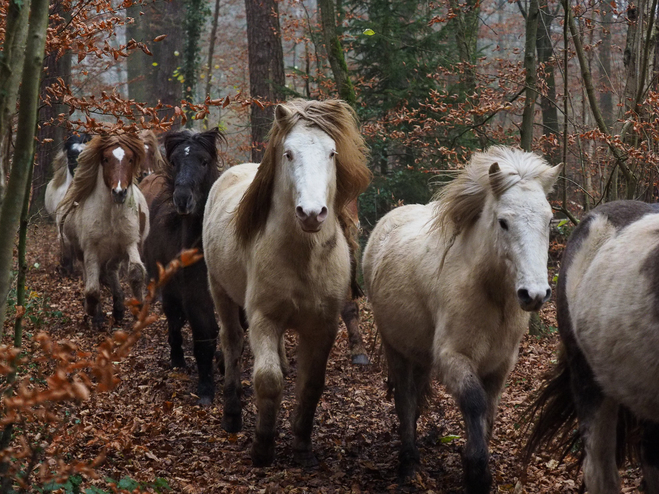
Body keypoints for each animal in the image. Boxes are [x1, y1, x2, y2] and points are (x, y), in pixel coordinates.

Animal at [58, 133, 149, 330]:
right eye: (106, 159)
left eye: (130, 159)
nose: (119, 192)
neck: (111, 213)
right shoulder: (91, 249)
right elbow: (92, 289)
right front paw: (94, 313)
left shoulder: (129, 243)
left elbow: (136, 273)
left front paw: (138, 311)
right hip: (82, 250)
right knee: (91, 275)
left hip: (117, 251)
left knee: (110, 269)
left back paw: (119, 309)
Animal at [143, 127, 226, 406]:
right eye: (175, 161)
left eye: (204, 161)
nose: (182, 199)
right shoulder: (195, 298)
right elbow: (204, 339)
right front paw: (206, 389)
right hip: (168, 290)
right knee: (174, 320)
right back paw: (177, 358)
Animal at [202, 97, 372, 466]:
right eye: (288, 153)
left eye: (332, 153)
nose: (311, 213)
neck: (303, 257)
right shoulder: (263, 319)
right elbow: (268, 380)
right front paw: (263, 446)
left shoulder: (322, 326)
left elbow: (312, 384)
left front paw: (302, 444)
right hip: (219, 291)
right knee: (232, 342)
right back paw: (232, 414)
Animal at [360, 145, 564, 492]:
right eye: (503, 222)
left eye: (549, 221)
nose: (534, 294)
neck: (488, 293)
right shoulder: (453, 357)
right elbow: (474, 402)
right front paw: (476, 472)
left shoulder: (500, 365)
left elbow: (490, 410)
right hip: (395, 348)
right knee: (405, 400)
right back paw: (409, 464)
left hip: (418, 352)